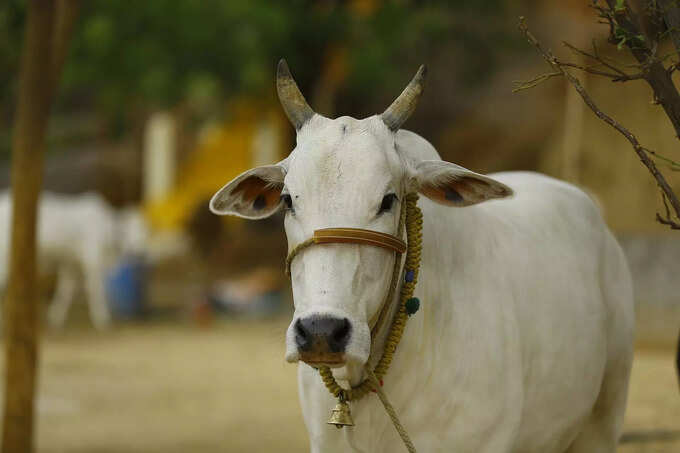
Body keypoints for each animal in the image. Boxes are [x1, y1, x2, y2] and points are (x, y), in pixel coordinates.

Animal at [0, 191, 147, 328]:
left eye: (144, 230)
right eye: (126, 231)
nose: (140, 251)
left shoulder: (70, 263)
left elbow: (65, 290)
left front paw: (55, 318)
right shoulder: (92, 261)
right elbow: (96, 290)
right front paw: (102, 319)